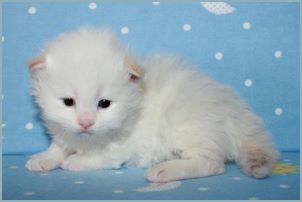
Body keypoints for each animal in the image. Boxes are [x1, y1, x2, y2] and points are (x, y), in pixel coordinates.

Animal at [26, 26, 278, 181]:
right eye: (68, 102)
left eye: (104, 103)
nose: (86, 123)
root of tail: (234, 111)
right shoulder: (65, 130)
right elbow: (59, 144)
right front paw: (45, 157)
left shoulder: (124, 143)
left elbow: (103, 156)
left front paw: (77, 161)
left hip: (189, 126)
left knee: (212, 164)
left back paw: (166, 170)